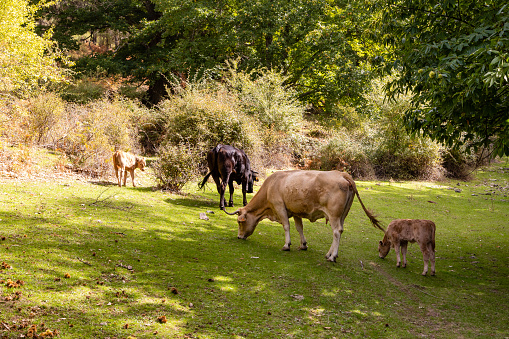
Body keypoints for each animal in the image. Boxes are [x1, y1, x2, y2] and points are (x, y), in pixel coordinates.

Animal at [224, 170, 382, 262]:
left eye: (240, 222)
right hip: (342, 215)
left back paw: (332, 256)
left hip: (334, 215)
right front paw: (303, 245)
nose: (239, 236)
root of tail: (341, 173)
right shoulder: (295, 212)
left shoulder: (280, 207)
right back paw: (329, 254)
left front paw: (286, 245)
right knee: (340, 231)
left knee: (336, 232)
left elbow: (286, 226)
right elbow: (299, 228)